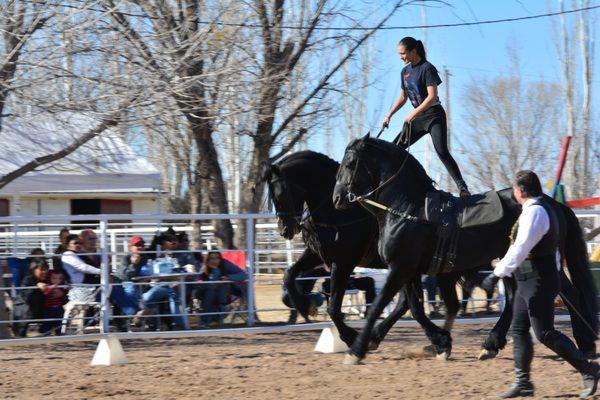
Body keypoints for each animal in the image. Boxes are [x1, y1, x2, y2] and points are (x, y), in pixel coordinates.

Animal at [262, 150, 516, 356]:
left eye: (280, 193)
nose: (285, 229)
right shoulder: (320, 254)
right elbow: (290, 274)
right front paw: (306, 305)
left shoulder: (344, 262)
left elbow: (334, 306)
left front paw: (350, 337)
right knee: (431, 303)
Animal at [336, 136, 596, 364]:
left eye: (349, 163)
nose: (337, 198)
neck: (407, 209)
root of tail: (553, 203)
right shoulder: (408, 270)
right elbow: (414, 307)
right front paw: (440, 342)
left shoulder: (401, 267)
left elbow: (380, 306)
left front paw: (357, 350)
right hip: (510, 259)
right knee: (515, 299)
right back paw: (492, 344)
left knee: (569, 295)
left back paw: (584, 343)